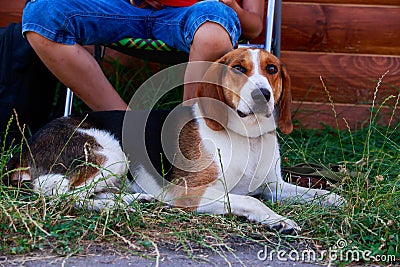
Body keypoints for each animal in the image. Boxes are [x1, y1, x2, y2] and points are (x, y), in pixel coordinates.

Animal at [3, 48, 344, 234]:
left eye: (272, 69)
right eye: (238, 68)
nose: (263, 95)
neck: (247, 137)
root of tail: (25, 147)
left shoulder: (273, 186)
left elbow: (313, 193)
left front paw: (336, 199)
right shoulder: (189, 192)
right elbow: (250, 200)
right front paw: (278, 219)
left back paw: (130, 201)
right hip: (111, 153)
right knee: (60, 197)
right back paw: (120, 205)